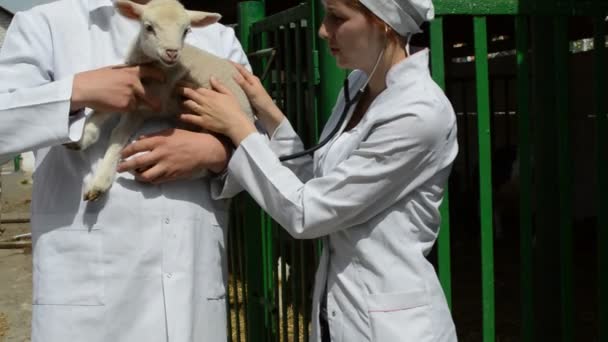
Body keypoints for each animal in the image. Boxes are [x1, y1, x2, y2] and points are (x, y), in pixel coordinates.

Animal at [72, 0, 255, 200]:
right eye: (149, 27)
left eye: (186, 30)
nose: (172, 52)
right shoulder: (138, 106)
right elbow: (115, 129)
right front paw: (90, 155)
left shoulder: (153, 96)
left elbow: (109, 117)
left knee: (205, 165)